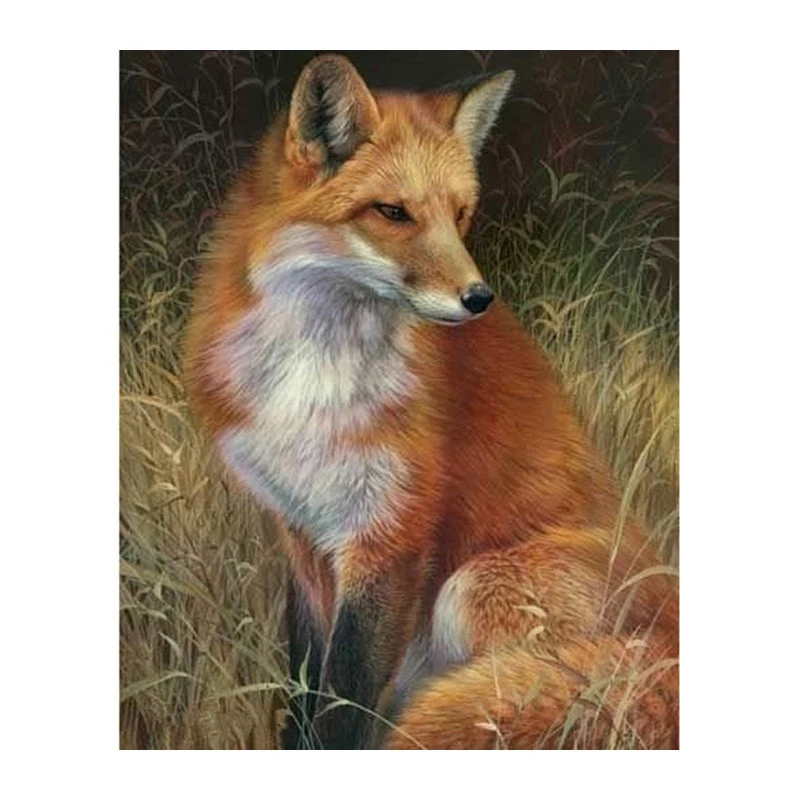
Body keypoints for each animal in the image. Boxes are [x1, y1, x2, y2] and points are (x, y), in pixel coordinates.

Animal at [184, 53, 679, 750]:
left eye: (461, 214)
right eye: (393, 212)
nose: (479, 298)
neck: (314, 378)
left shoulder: (391, 531)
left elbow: (344, 704)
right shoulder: (303, 533)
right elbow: (306, 685)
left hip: (474, 586)